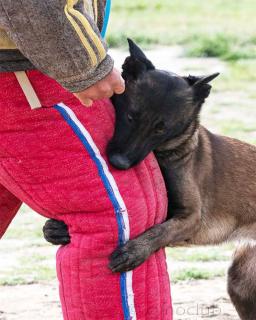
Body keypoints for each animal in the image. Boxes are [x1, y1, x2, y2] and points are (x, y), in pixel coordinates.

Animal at [45, 40, 256, 320]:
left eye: (161, 128)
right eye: (130, 116)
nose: (120, 163)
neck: (165, 155)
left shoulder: (190, 217)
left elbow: (159, 230)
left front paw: (134, 251)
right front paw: (56, 229)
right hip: (241, 280)